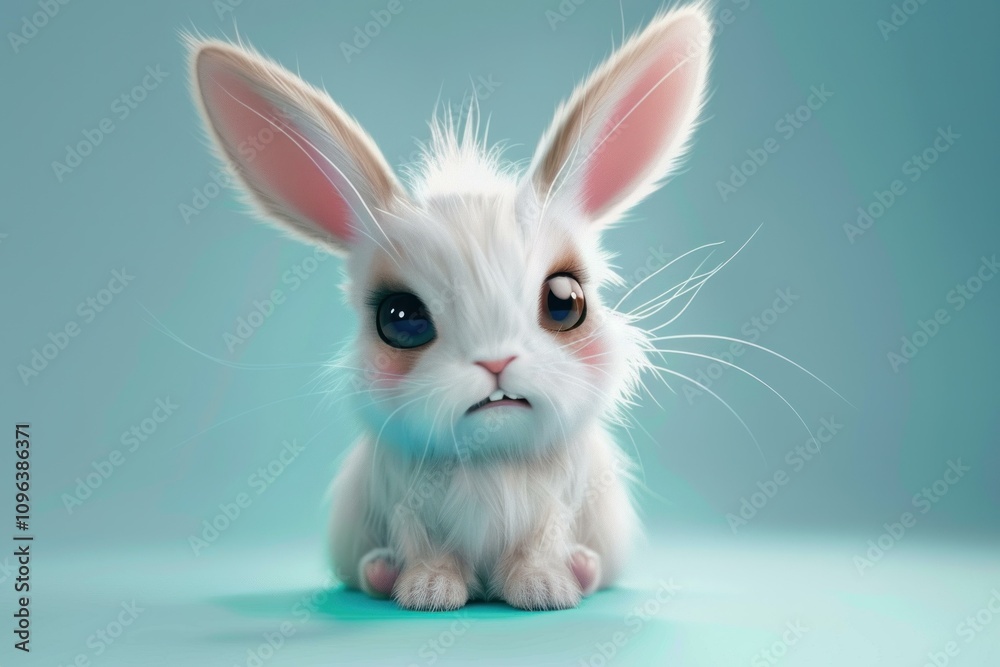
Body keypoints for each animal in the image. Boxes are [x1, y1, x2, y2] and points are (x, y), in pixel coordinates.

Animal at [187, 2, 712, 610]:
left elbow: (539, 543)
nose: (496, 361)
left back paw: (581, 570)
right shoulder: (405, 507)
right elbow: (427, 546)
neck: (491, 458)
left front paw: (543, 589)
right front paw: (429, 592)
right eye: (400, 319)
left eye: (566, 302)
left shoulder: (556, 507)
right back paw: (382, 575)